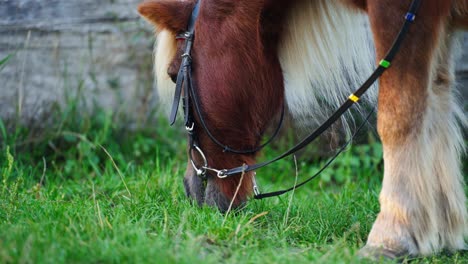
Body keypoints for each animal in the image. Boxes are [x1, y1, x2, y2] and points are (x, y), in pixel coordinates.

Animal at [137, 0, 468, 260]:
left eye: (173, 74)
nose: (191, 189)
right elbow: (434, 113)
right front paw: (441, 232)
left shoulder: (401, 14)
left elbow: (400, 117)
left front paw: (392, 237)